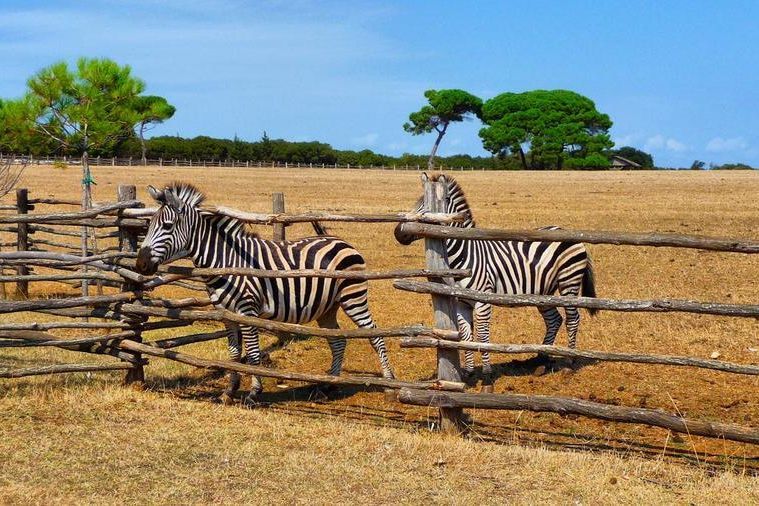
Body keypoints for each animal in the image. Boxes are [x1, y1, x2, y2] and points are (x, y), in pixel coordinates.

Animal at [135, 182, 395, 405]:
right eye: (148, 226)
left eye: (167, 226)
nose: (140, 264)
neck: (224, 261)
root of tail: (341, 241)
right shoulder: (226, 314)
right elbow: (234, 353)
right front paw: (229, 391)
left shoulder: (247, 310)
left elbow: (252, 353)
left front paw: (253, 393)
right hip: (327, 307)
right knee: (338, 341)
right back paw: (327, 386)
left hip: (353, 297)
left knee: (375, 335)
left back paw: (389, 383)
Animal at [394, 173, 597, 387]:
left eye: (426, 209)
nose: (398, 233)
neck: (464, 253)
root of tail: (570, 233)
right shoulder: (461, 303)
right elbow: (466, 335)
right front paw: (468, 373)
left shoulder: (483, 299)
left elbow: (483, 335)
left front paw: (487, 376)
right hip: (544, 292)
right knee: (554, 320)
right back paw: (541, 362)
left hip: (569, 282)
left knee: (573, 319)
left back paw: (569, 363)